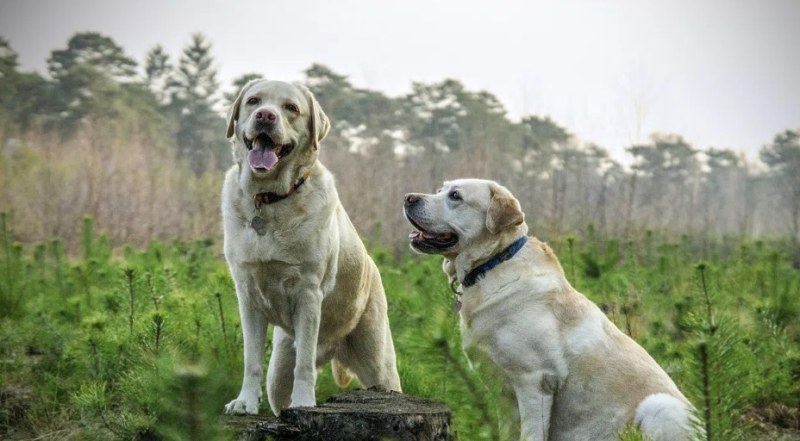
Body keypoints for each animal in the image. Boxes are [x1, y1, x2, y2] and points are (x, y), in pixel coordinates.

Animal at [222, 80, 400, 416]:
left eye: (291, 108)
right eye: (253, 101)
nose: (266, 116)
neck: (270, 199)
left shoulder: (308, 293)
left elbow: (303, 365)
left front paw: (305, 403)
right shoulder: (247, 295)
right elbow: (251, 360)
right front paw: (245, 402)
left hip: (379, 364)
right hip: (278, 370)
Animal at [404, 178, 696, 440]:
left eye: (455, 196)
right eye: (439, 189)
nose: (409, 197)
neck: (494, 263)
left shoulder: (535, 380)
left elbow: (531, 435)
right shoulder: (504, 394)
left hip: (659, 406)